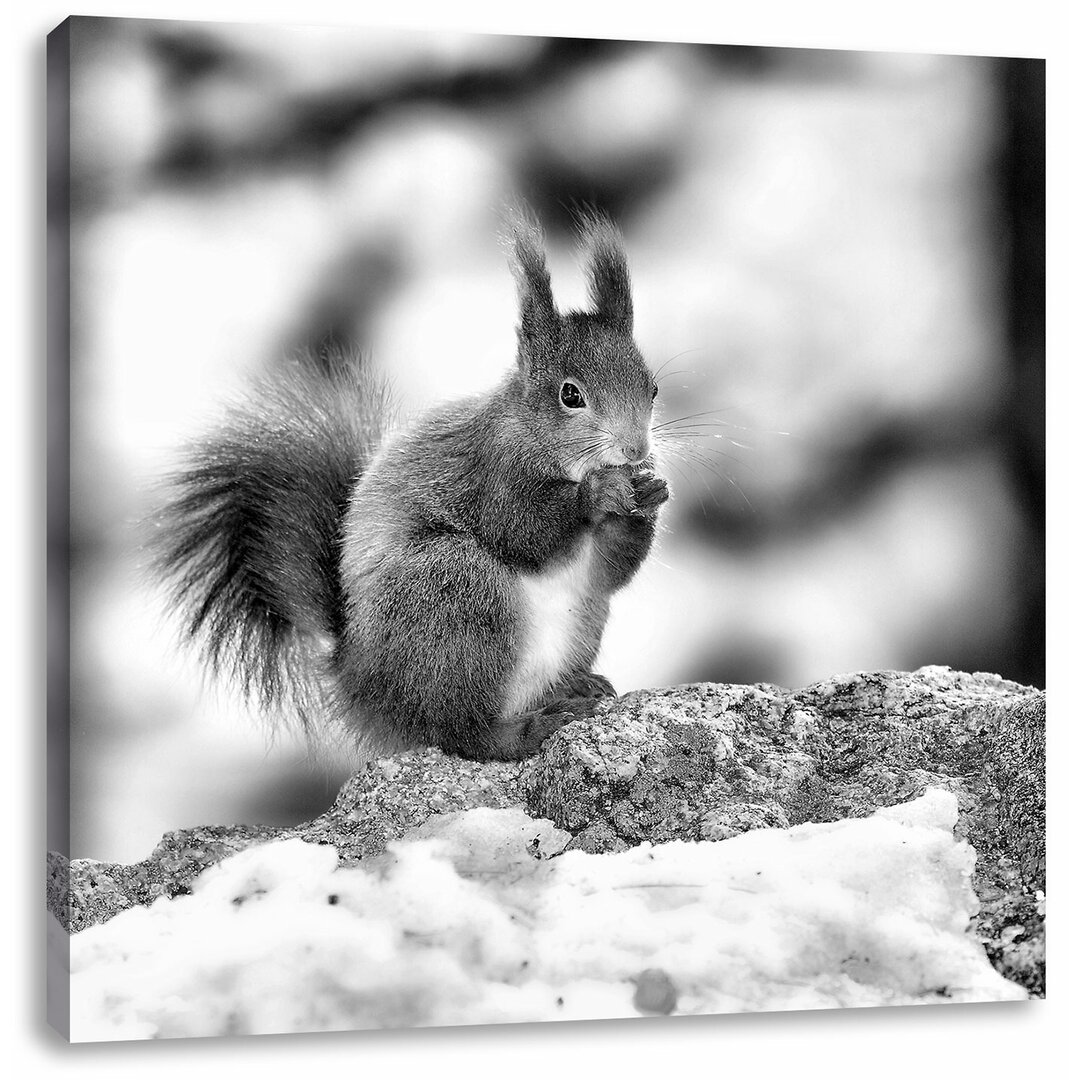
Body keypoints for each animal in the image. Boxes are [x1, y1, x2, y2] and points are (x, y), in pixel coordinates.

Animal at [154, 203, 665, 760]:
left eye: (652, 389)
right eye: (570, 395)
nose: (636, 450)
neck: (539, 440)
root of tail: (361, 686)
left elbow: (610, 571)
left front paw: (650, 496)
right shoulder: (489, 473)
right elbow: (524, 532)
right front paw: (599, 494)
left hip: (579, 619)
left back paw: (573, 688)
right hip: (454, 595)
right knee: (460, 731)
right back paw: (528, 728)